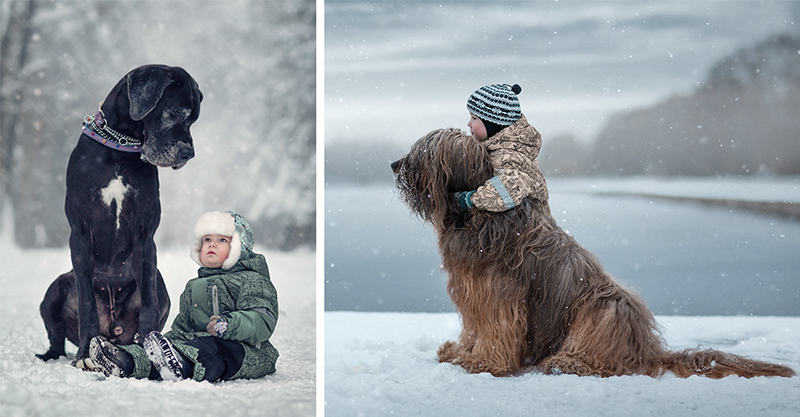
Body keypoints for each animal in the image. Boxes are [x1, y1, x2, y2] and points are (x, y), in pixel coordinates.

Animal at [36, 65, 203, 368]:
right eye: (174, 113)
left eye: (193, 120)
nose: (188, 153)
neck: (120, 146)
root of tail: (111, 330)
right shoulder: (79, 233)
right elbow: (86, 304)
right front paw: (84, 354)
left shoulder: (145, 235)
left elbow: (148, 302)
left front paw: (151, 348)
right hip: (56, 288)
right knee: (56, 338)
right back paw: (54, 354)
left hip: (161, 286)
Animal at [390, 127, 792, 376]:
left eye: (423, 151)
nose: (394, 164)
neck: (474, 213)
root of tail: (648, 349)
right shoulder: (472, 290)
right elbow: (473, 328)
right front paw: (460, 353)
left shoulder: (497, 294)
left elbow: (495, 330)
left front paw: (484, 364)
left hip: (604, 307)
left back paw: (567, 362)